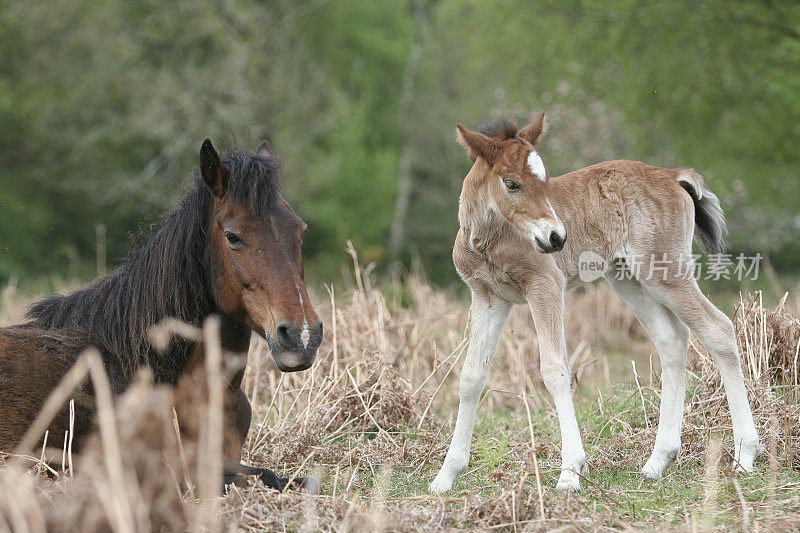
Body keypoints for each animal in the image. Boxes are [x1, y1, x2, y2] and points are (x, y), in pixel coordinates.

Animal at [432, 112, 764, 490]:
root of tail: (672, 175)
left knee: (717, 328)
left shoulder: (545, 286)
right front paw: (445, 476)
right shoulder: (488, 297)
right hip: (627, 278)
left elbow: (555, 370)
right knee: (672, 338)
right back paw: (658, 461)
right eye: (512, 184)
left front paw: (570, 473)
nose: (556, 237)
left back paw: (745, 454)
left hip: (664, 273)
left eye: (545, 179)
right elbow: (471, 377)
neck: (488, 240)